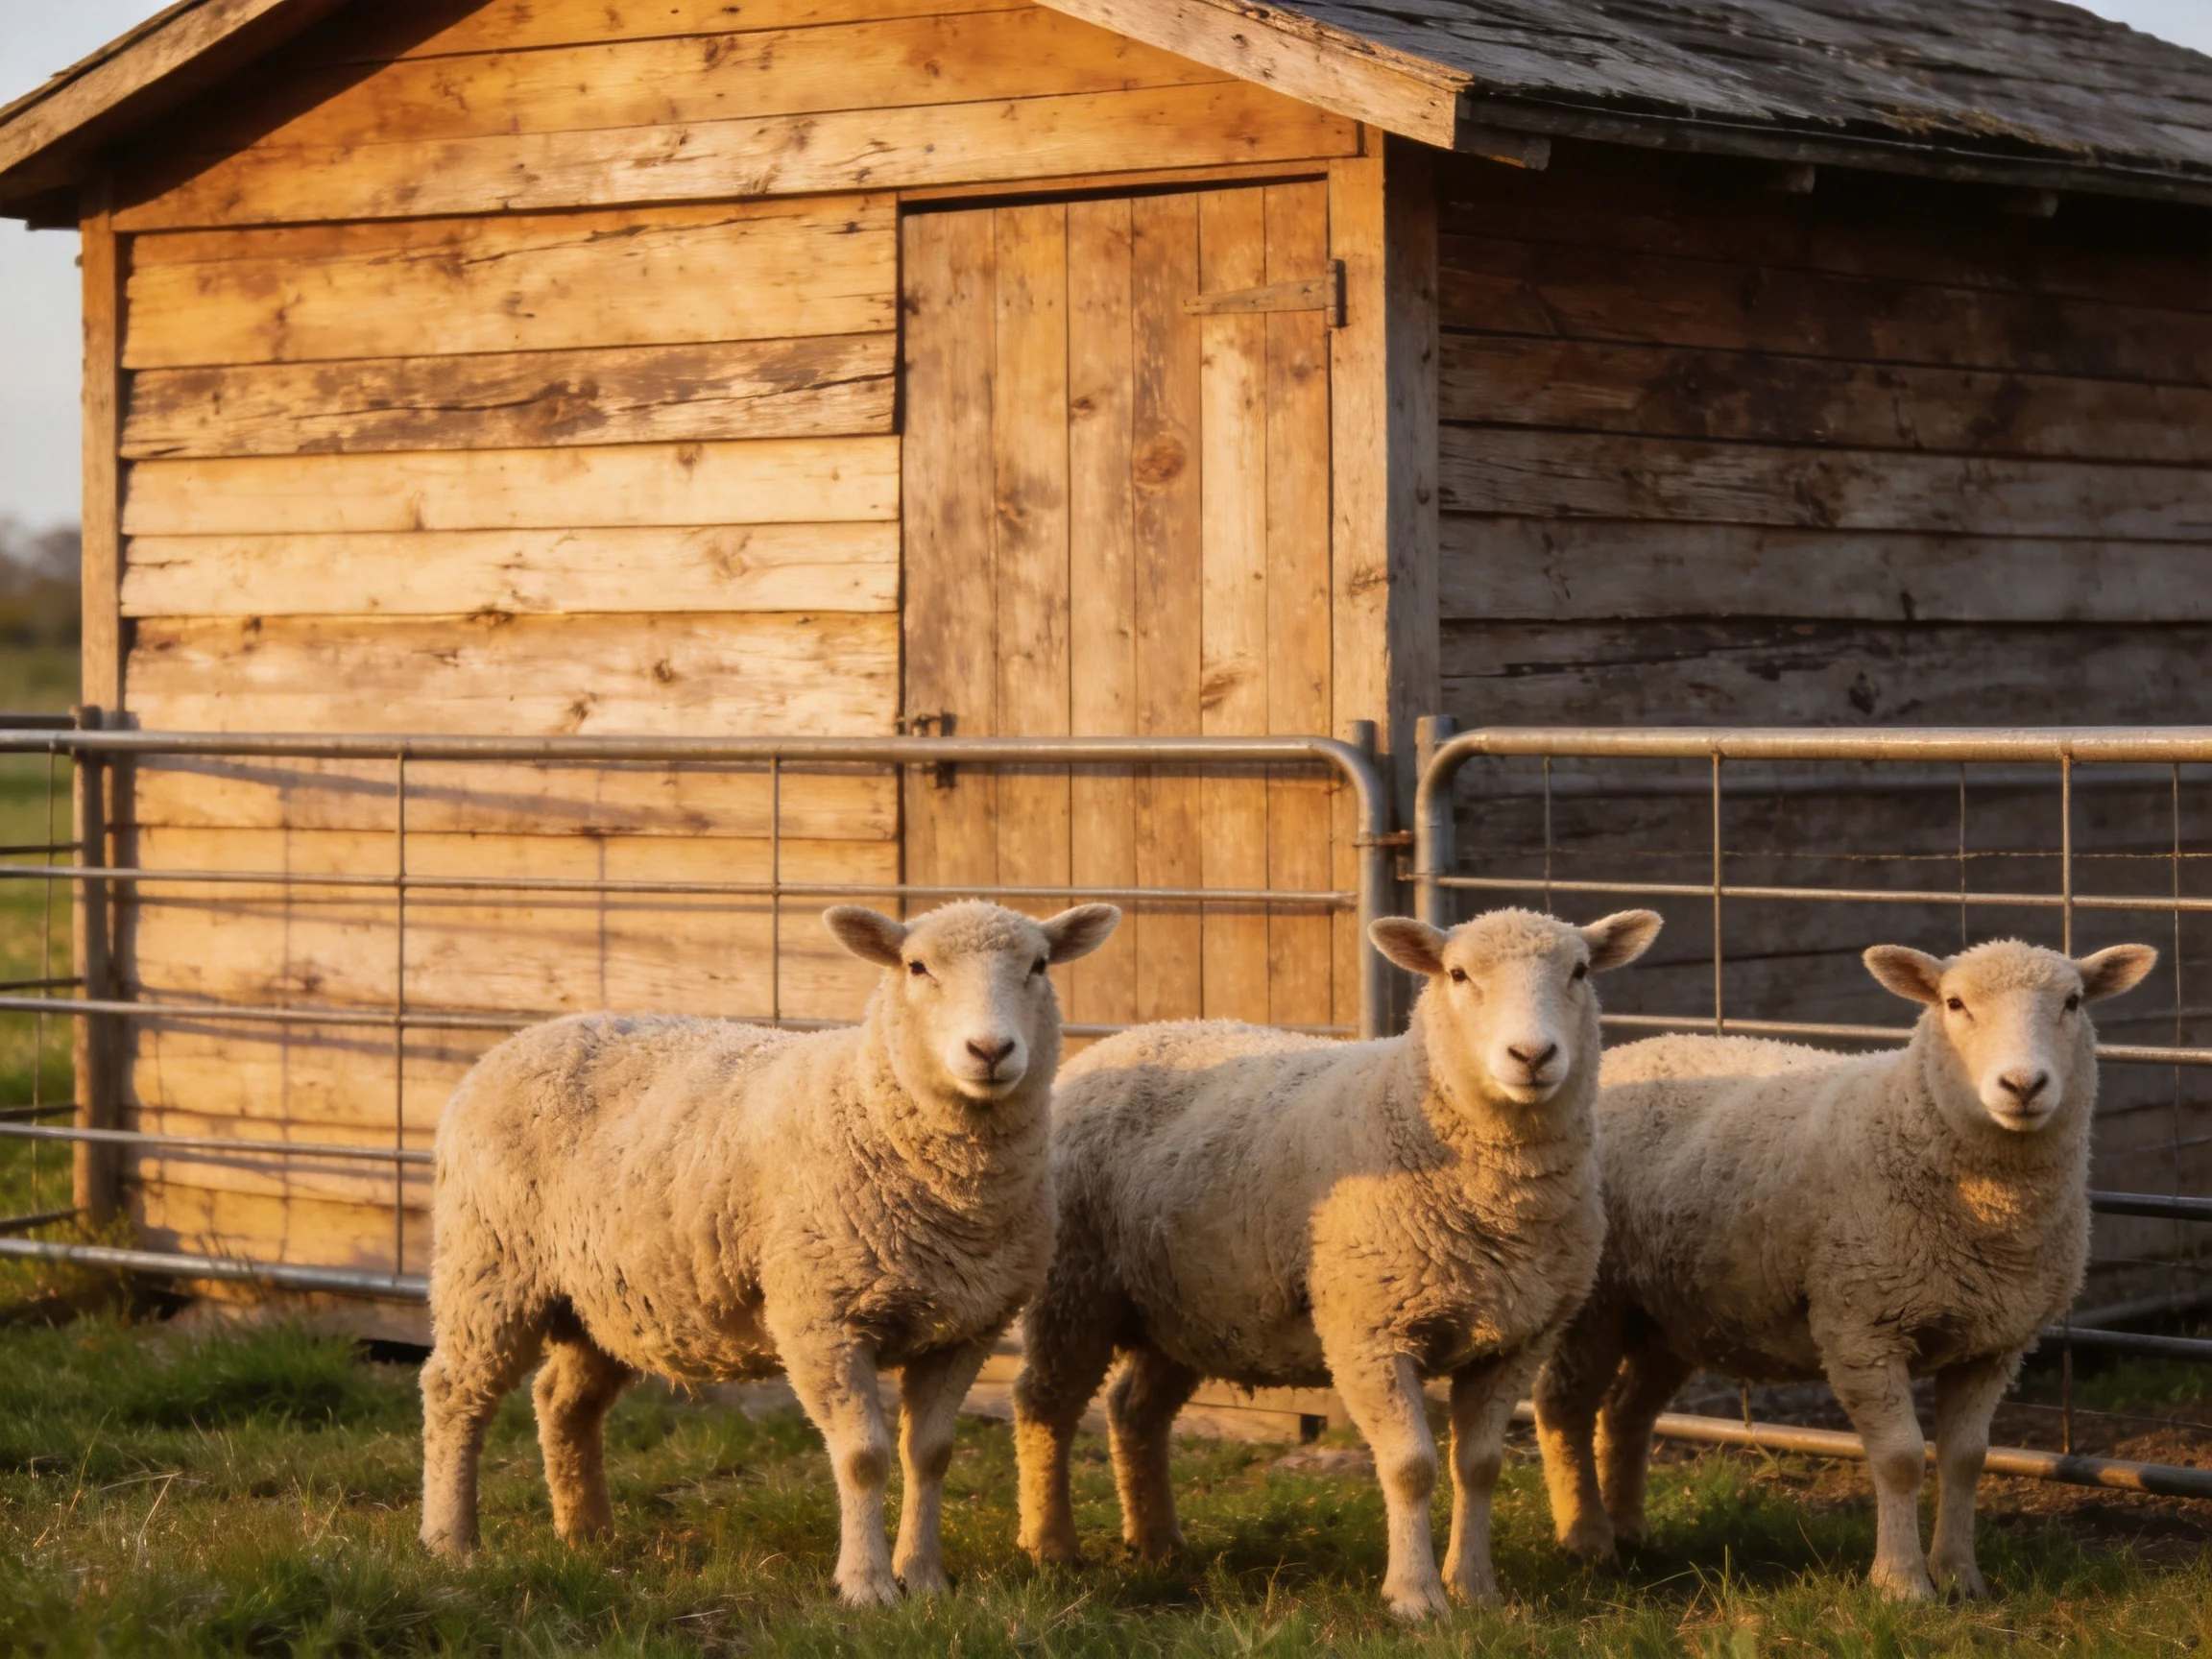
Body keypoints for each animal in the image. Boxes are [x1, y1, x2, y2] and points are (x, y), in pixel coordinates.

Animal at [418, 898, 1120, 1605]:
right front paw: (867, 1585)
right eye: (917, 967)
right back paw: (450, 1541)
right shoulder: (820, 1318)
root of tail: (523, 1037)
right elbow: (863, 1457)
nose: (990, 1050)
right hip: (489, 1266)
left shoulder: (965, 1328)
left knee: (564, 1402)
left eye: (1039, 965)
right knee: (454, 1394)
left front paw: (924, 1579)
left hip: (605, 1296)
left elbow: (930, 1454)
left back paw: (588, 1534)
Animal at [1012, 906, 1663, 1619]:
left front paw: (1476, 1590)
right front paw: (1416, 1597)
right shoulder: (1368, 1331)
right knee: (1046, 1405)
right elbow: (1411, 1466)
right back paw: (1049, 1545)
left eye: (1579, 971)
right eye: (1458, 974)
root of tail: (1130, 1037)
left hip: (1183, 1308)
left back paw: (1158, 1544)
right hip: (1075, 1290)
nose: (1533, 1056)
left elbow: (1479, 1466)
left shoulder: (1516, 1340)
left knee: (1135, 1410)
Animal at [1533, 936, 2157, 1602]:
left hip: (1670, 1313)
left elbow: (1966, 1459)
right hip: (1596, 1301)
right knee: (1565, 1406)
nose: (2022, 1084)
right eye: (1954, 1003)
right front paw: (1902, 1584)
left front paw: (1960, 1577)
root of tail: (1629, 1051)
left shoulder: (1994, 1344)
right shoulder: (1862, 1326)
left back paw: (1630, 1533)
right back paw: (1587, 1540)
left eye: (2073, 1001)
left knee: (1626, 1412)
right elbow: (1901, 1458)